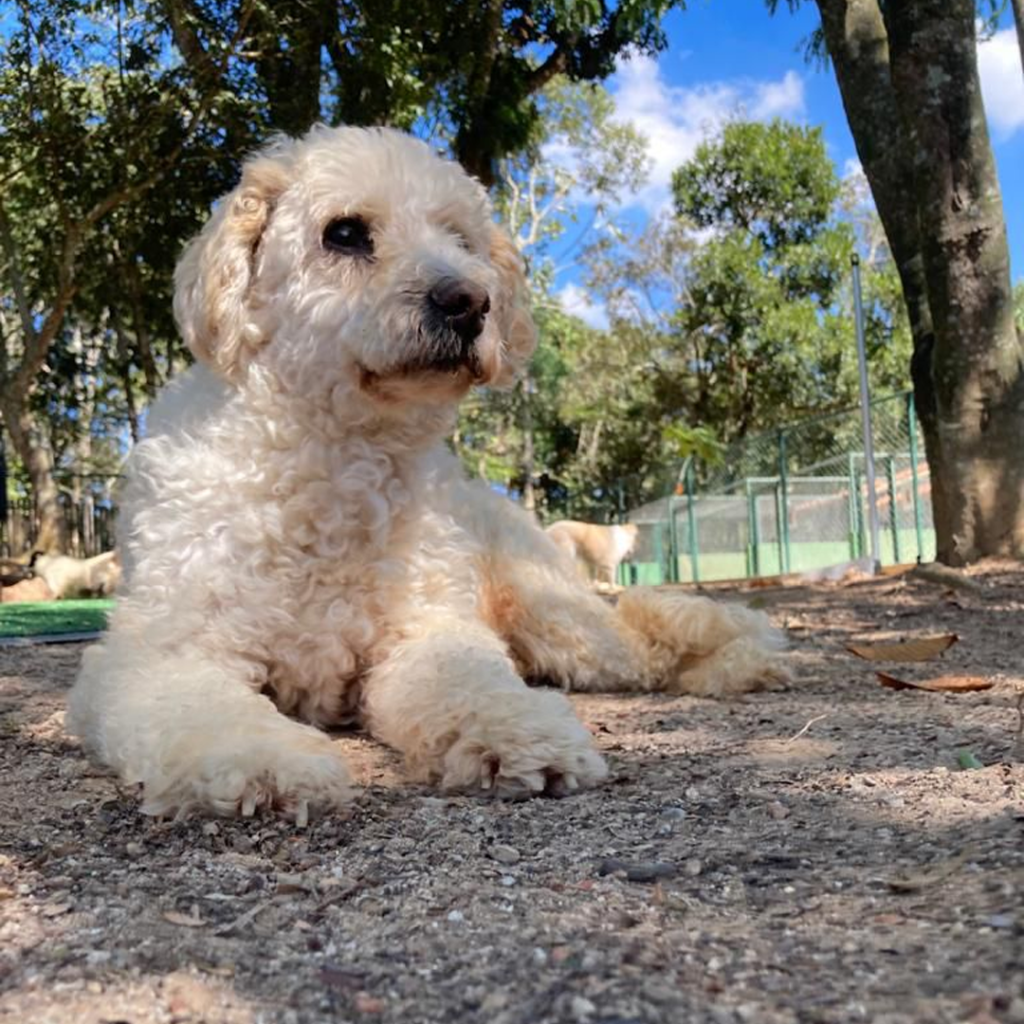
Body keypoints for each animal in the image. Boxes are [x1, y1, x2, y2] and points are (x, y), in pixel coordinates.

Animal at [68, 125, 786, 823]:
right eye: (345, 232)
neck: (332, 462)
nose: (470, 300)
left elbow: (471, 679)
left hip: (558, 620)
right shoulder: (162, 648)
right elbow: (201, 708)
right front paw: (256, 761)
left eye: (461, 239)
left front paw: (517, 731)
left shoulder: (428, 632)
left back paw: (746, 660)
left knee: (650, 636)